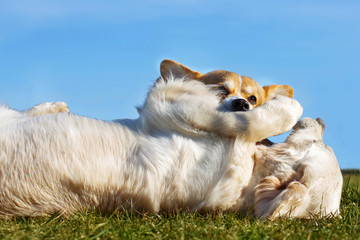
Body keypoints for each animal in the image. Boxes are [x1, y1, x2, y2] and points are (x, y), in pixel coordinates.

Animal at [0, 59, 342, 218]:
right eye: (223, 89)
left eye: (317, 144)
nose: (321, 121)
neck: (249, 173)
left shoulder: (173, 104)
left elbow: (262, 118)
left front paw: (286, 105)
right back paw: (55, 105)